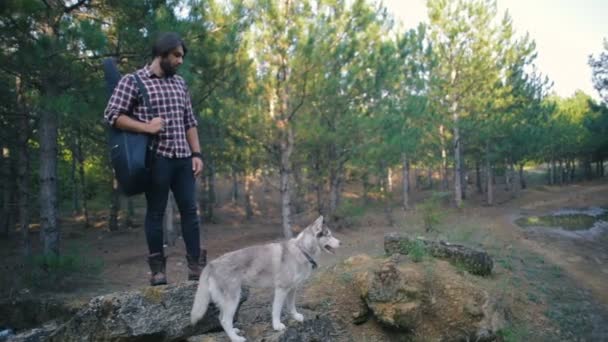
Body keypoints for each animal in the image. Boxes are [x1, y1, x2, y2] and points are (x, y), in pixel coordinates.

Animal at [190, 216, 340, 342]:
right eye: (329, 234)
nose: (341, 242)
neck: (302, 250)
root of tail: (212, 263)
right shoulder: (281, 289)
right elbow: (276, 310)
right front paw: (277, 326)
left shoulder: (292, 289)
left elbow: (291, 306)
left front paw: (296, 316)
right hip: (233, 299)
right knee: (225, 320)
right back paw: (236, 338)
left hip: (228, 301)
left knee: (221, 318)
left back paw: (234, 331)